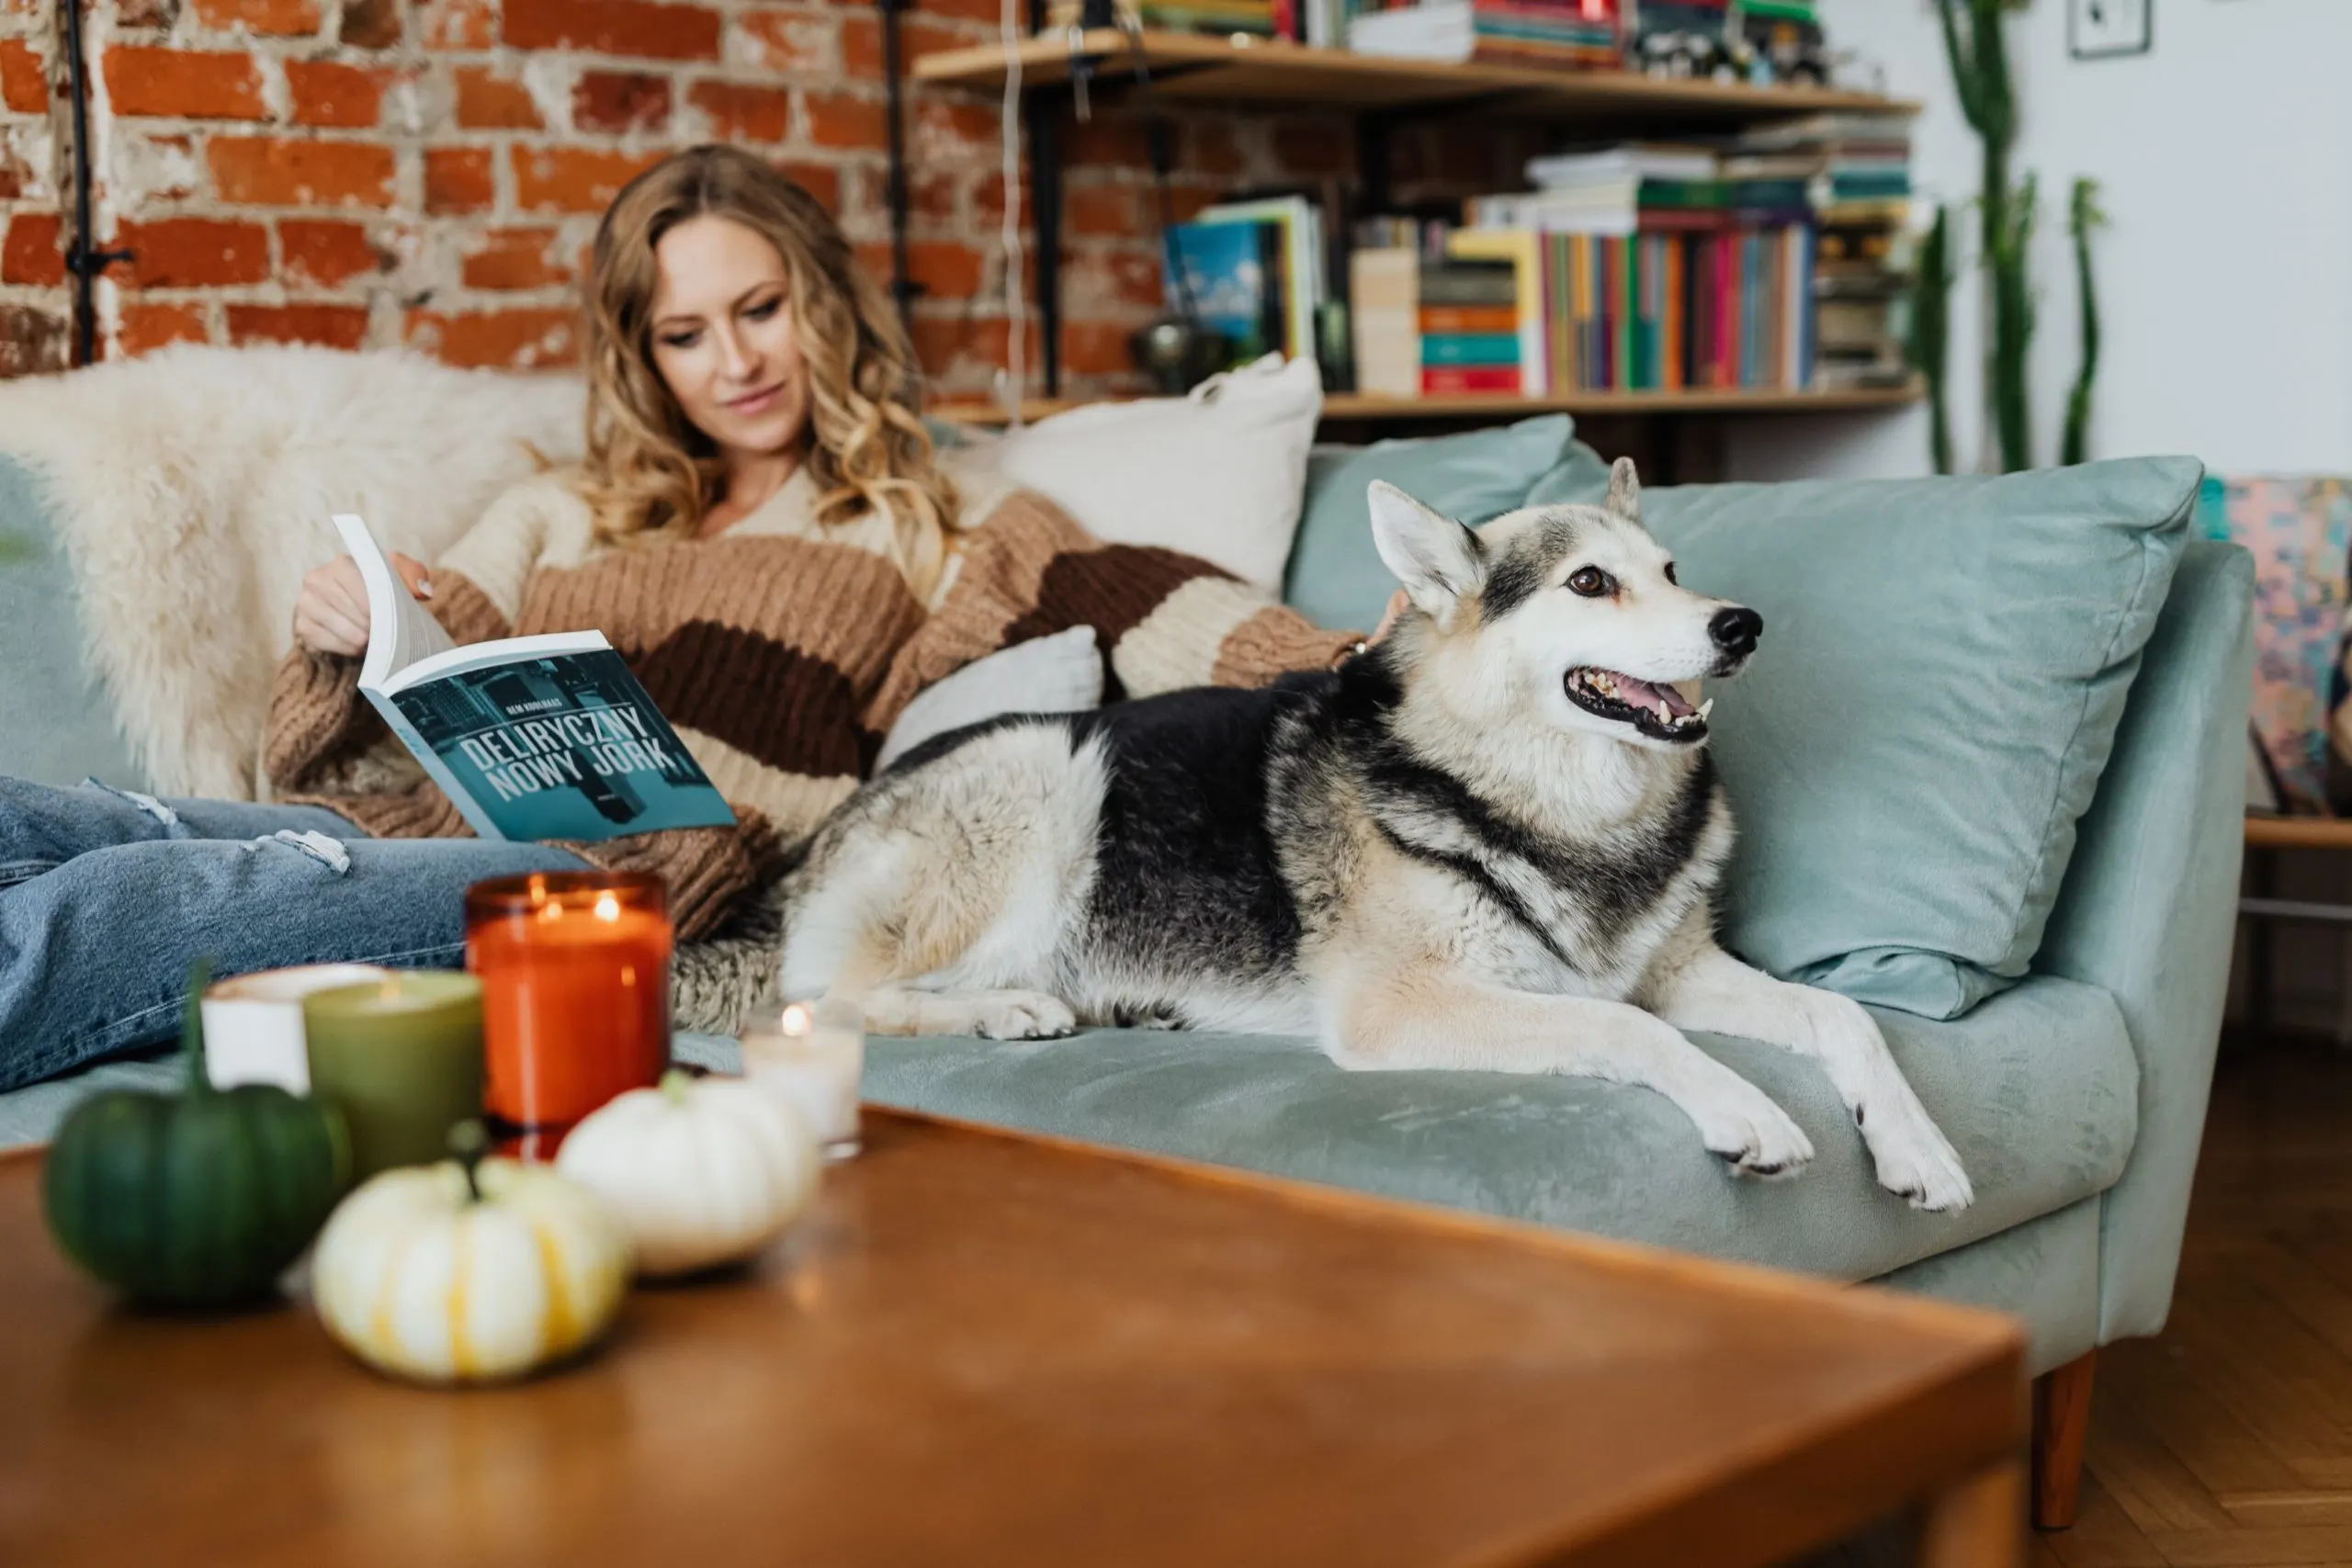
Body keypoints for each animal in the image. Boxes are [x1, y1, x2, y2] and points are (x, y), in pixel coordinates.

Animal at [780, 460, 1975, 1213]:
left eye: (1674, 571)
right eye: (1590, 582)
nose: (1742, 625)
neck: (1553, 798)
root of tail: (823, 837)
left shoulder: (1675, 972)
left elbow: (1840, 1016)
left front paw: (1916, 1143)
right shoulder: (1412, 1003)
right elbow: (1628, 1031)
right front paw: (1745, 1111)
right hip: (1051, 773)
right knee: (833, 1001)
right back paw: (1005, 1008)